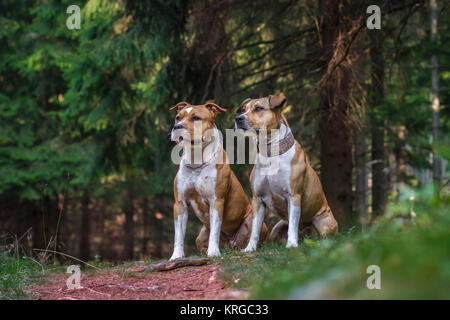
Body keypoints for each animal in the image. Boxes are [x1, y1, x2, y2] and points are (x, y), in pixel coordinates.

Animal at [169, 102, 268, 260]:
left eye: (196, 118)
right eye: (177, 117)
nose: (177, 126)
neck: (196, 160)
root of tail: (231, 244)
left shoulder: (216, 200)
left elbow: (215, 230)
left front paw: (213, 252)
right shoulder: (180, 204)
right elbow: (178, 235)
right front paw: (176, 256)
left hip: (253, 220)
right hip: (201, 234)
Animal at [236, 94, 338, 251]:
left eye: (258, 108)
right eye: (243, 109)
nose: (238, 118)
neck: (271, 153)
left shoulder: (294, 195)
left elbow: (293, 225)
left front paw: (291, 244)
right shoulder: (257, 199)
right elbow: (255, 229)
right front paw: (250, 248)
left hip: (323, 222)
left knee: (326, 237)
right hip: (277, 227)